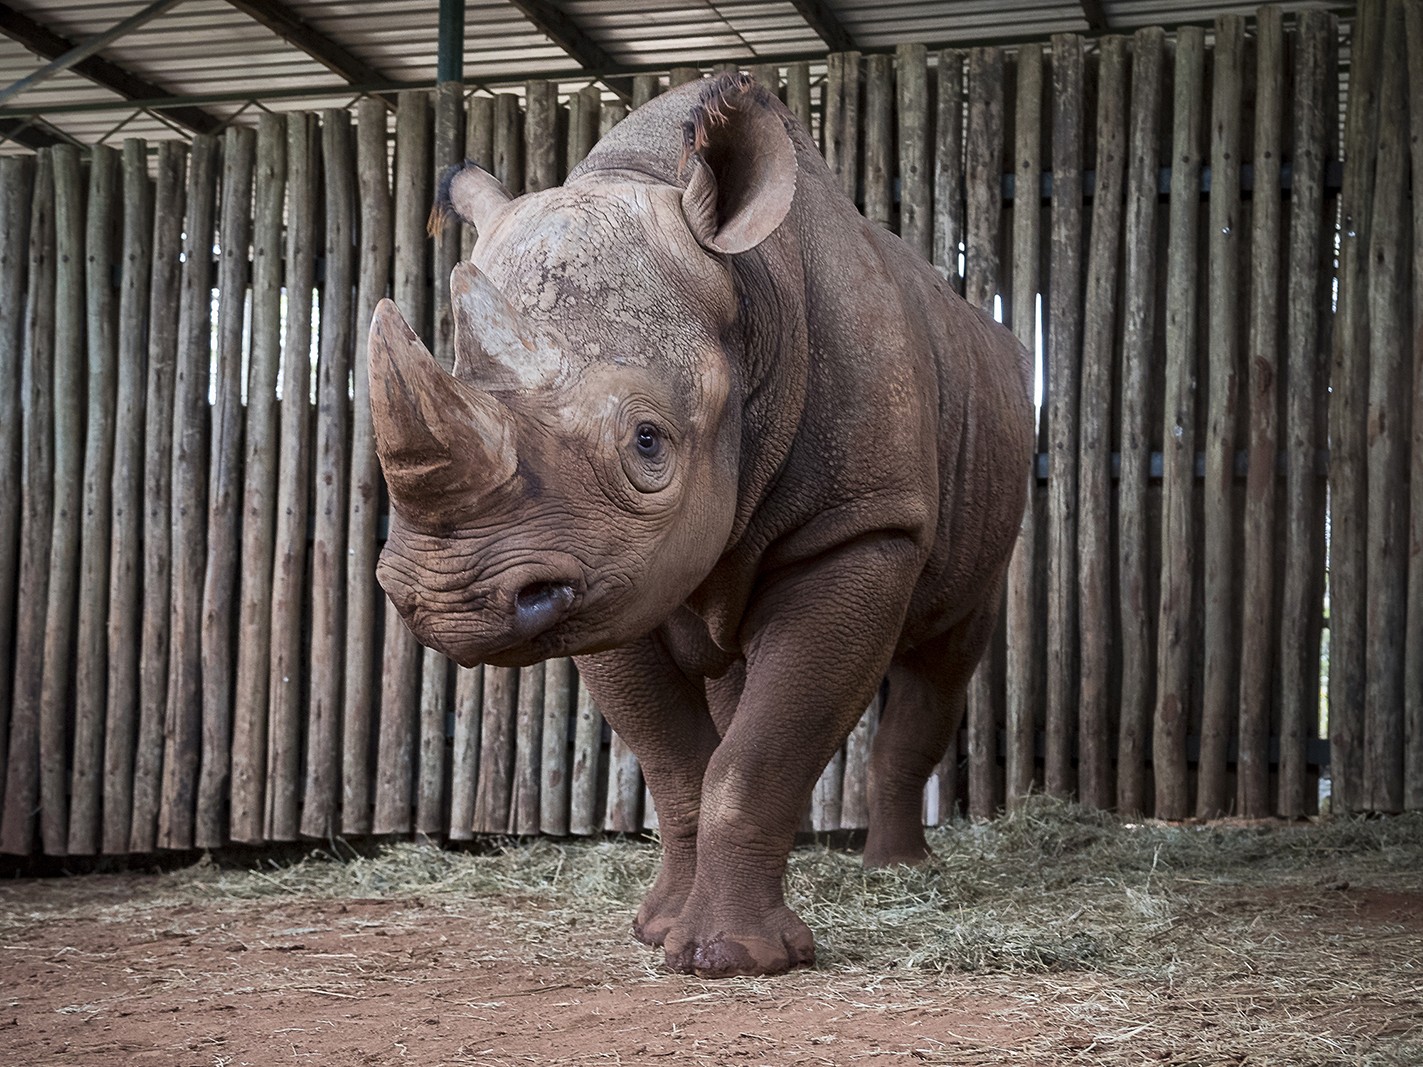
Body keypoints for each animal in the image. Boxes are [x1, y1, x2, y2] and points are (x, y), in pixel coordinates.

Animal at [370, 74, 1033, 978]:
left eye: (648, 441)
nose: (447, 602)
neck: (748, 297)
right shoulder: (602, 571)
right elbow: (680, 760)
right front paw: (657, 931)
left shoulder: (858, 528)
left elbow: (757, 754)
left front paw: (734, 959)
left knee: (944, 652)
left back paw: (896, 872)